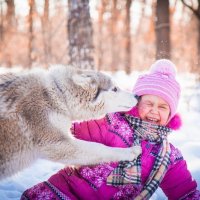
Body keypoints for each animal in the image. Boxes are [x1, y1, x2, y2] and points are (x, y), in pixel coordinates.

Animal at [0, 65, 141, 180]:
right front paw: (131, 152)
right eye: (115, 89)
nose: (137, 96)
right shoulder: (57, 144)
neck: (59, 95)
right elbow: (101, 148)